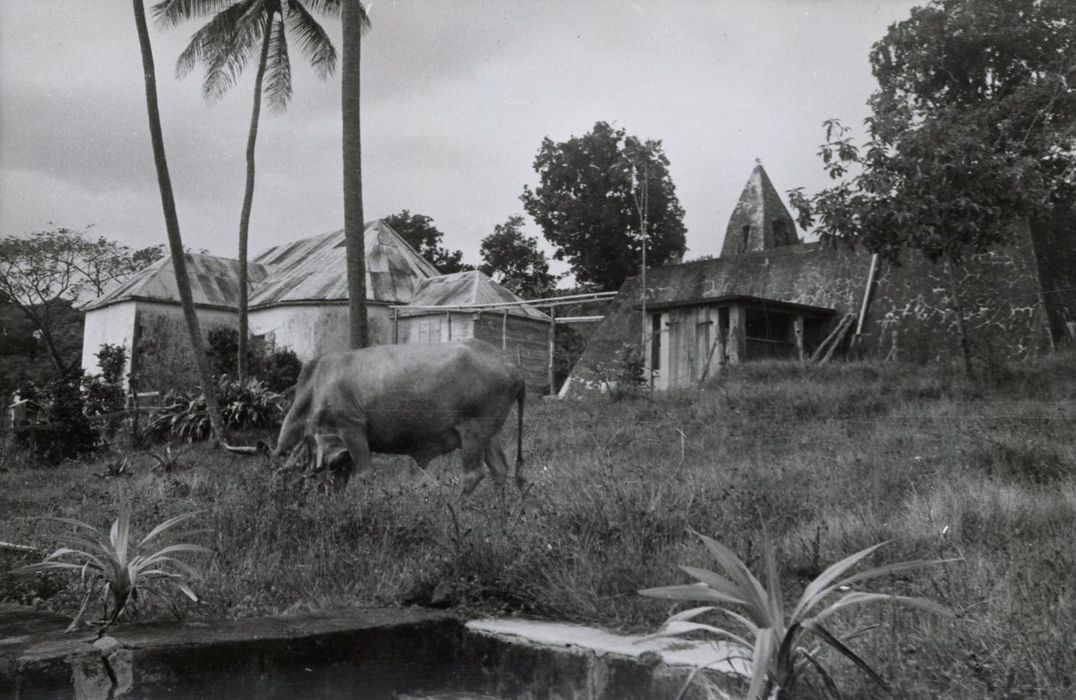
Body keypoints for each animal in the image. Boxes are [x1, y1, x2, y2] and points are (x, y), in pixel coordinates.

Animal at [273, 337, 525, 492]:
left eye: (283, 476)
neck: (315, 387)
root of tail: (510, 364)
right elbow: (338, 480)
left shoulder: (352, 431)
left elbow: (365, 475)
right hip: (486, 435)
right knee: (499, 470)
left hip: (473, 431)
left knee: (473, 475)